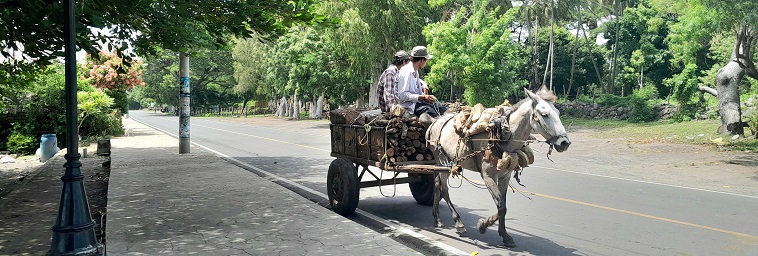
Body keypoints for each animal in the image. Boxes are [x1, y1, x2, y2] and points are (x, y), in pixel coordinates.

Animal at [424, 87, 572, 247]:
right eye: (544, 114)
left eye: (558, 113)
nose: (565, 143)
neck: (501, 137)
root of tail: (435, 121)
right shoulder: (488, 176)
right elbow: (501, 207)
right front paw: (482, 225)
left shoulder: (504, 177)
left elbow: (504, 206)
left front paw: (505, 235)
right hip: (441, 160)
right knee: (444, 189)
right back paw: (458, 223)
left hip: (444, 163)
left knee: (437, 185)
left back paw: (437, 218)